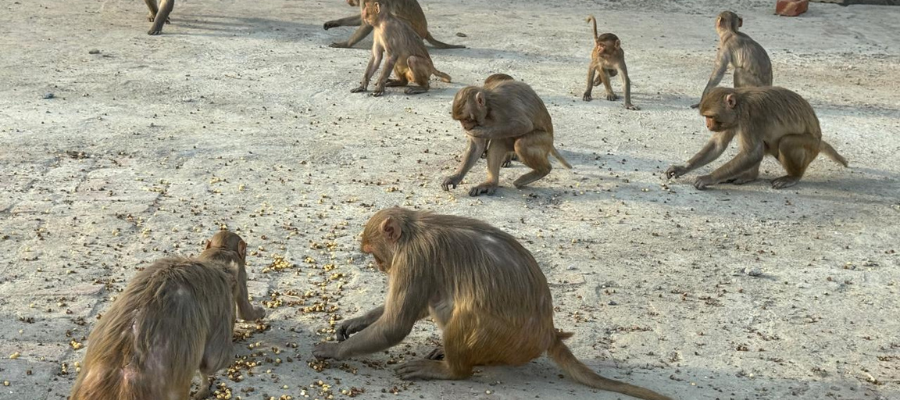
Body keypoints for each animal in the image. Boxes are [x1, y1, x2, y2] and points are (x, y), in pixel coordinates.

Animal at [313, 208, 672, 400]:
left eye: (372, 251)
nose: (379, 266)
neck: (415, 228)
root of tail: (549, 333)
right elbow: (409, 310)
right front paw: (355, 323)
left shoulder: (414, 259)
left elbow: (396, 324)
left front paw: (334, 351)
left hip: (510, 339)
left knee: (462, 313)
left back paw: (453, 370)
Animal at [324, 0, 465, 49]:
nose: (347, 1)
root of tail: (425, 32)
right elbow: (363, 18)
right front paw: (333, 23)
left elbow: (367, 23)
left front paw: (345, 44)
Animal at [441, 77, 571, 196]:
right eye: (461, 120)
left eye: (467, 118)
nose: (465, 126)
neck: (489, 107)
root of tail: (551, 140)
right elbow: (476, 146)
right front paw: (454, 178)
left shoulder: (503, 103)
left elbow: (523, 124)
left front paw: (481, 132)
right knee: (498, 145)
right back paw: (490, 183)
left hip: (544, 141)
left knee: (520, 143)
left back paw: (543, 170)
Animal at [666, 86, 848, 190]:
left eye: (710, 116)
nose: (708, 126)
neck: (740, 106)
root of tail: (820, 139)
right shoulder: (733, 121)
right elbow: (717, 145)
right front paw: (682, 168)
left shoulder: (751, 117)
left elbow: (752, 153)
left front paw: (708, 178)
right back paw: (749, 176)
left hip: (810, 146)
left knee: (786, 142)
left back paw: (793, 177)